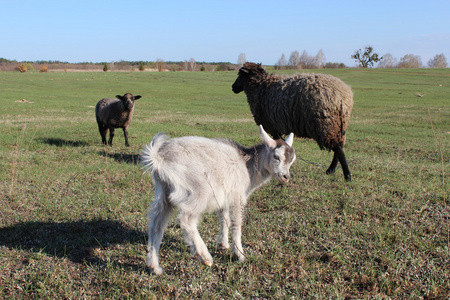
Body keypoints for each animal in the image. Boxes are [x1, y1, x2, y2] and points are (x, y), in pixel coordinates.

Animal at [141, 125, 296, 276]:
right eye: (276, 156)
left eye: (292, 160)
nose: (285, 177)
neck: (247, 165)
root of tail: (159, 158)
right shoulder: (236, 196)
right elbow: (236, 223)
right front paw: (239, 254)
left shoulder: (224, 197)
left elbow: (224, 218)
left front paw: (223, 244)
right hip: (198, 188)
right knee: (186, 219)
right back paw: (205, 257)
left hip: (163, 190)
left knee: (156, 224)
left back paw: (154, 266)